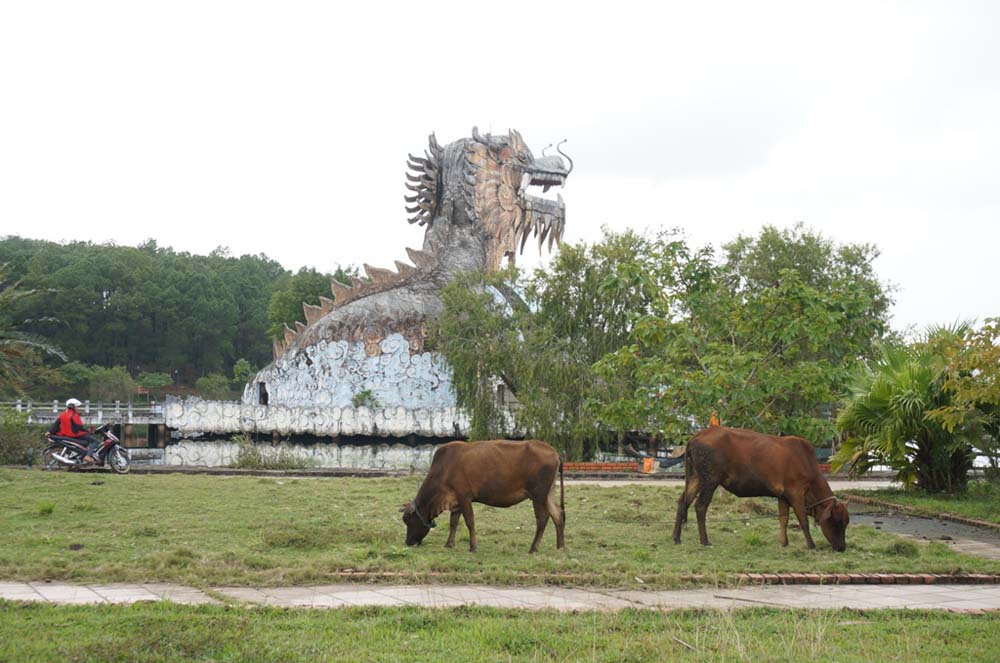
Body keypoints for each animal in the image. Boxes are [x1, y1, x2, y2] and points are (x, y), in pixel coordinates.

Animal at [402, 440, 568, 556]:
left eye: (408, 520)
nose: (408, 542)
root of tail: (553, 451)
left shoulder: (464, 496)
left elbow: (469, 521)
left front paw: (473, 547)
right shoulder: (456, 500)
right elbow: (453, 522)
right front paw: (449, 544)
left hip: (538, 495)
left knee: (542, 519)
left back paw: (533, 548)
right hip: (548, 494)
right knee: (557, 514)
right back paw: (560, 547)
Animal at [672, 428, 852, 552]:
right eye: (837, 522)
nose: (842, 548)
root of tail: (698, 435)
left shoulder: (783, 496)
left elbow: (783, 519)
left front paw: (784, 543)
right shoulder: (796, 493)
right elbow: (803, 521)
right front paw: (811, 545)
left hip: (695, 478)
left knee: (683, 502)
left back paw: (676, 538)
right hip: (710, 480)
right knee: (700, 506)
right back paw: (705, 541)